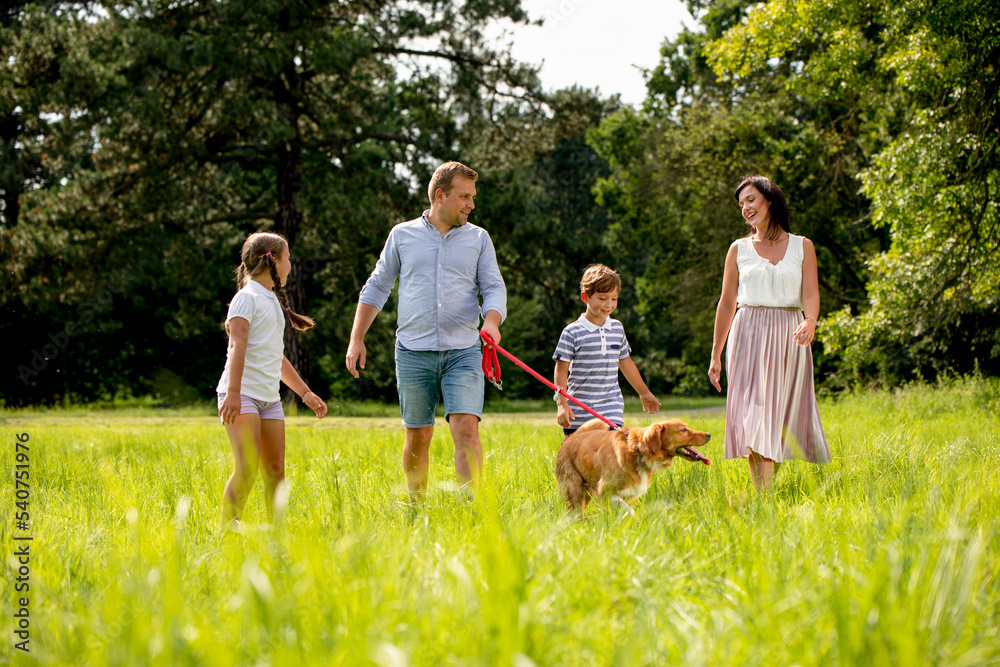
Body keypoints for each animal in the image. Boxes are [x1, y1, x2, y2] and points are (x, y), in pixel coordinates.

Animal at [556, 418, 712, 516]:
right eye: (683, 430)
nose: (709, 434)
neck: (637, 452)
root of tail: (569, 439)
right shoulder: (605, 490)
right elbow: (626, 509)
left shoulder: (631, 493)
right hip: (575, 487)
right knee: (574, 510)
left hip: (587, 490)